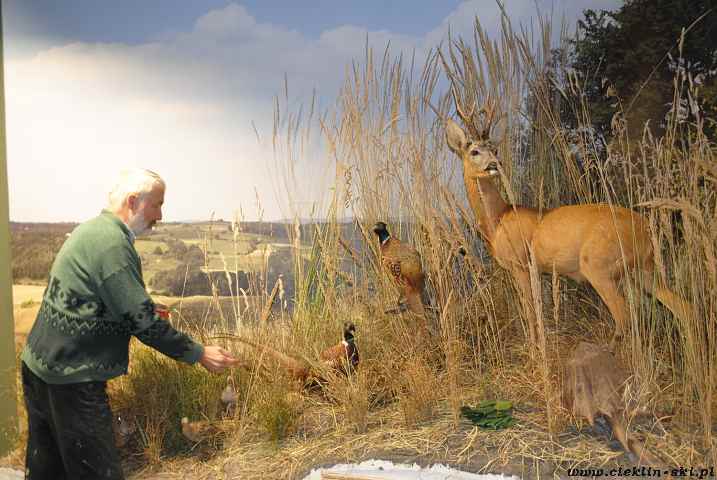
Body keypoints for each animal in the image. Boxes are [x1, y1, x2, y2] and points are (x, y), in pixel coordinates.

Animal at [444, 92, 692, 346]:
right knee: (682, 306)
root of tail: (644, 228)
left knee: (624, 315)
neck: (499, 218)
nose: (495, 164)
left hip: (598, 265)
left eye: (493, 148)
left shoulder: (521, 264)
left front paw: (534, 347)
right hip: (643, 269)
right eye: (474, 151)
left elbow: (530, 310)